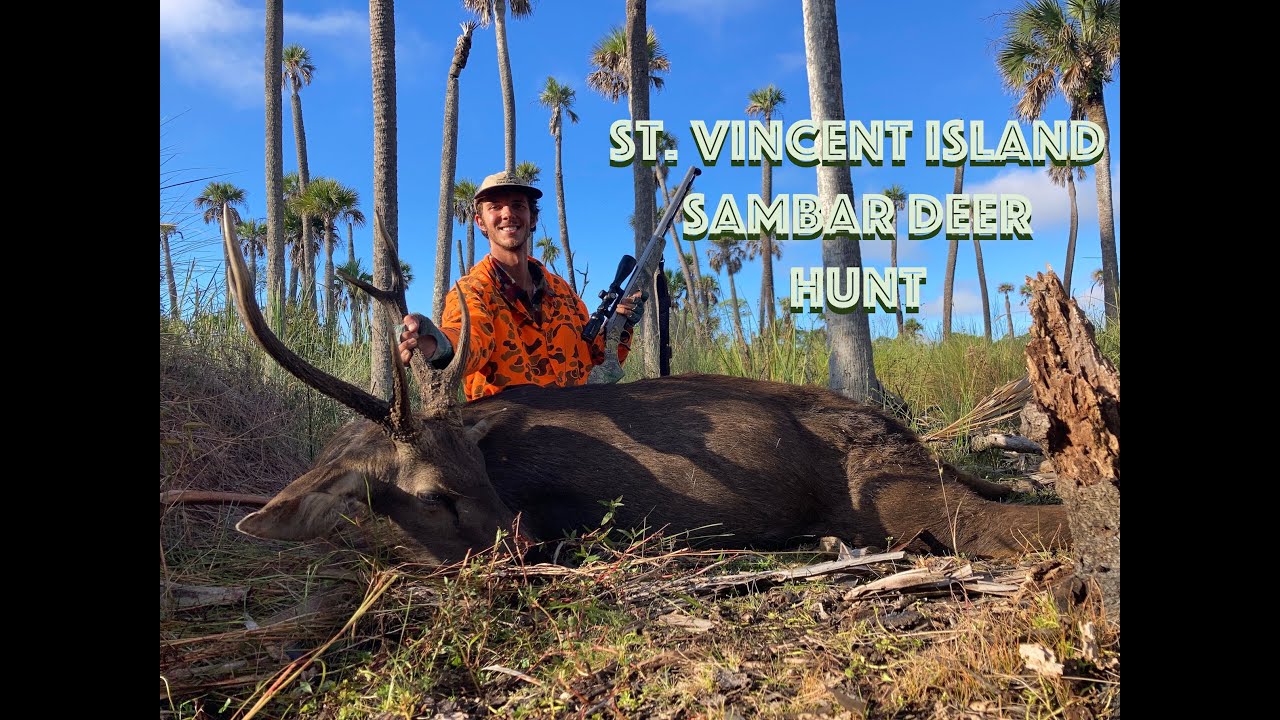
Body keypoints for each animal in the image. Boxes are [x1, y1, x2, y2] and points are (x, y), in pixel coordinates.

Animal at [219, 209, 1068, 564]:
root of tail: (905, 436)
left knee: (1014, 525)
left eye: (478, 476)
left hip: (889, 490)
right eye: (434, 492)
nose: (522, 550)